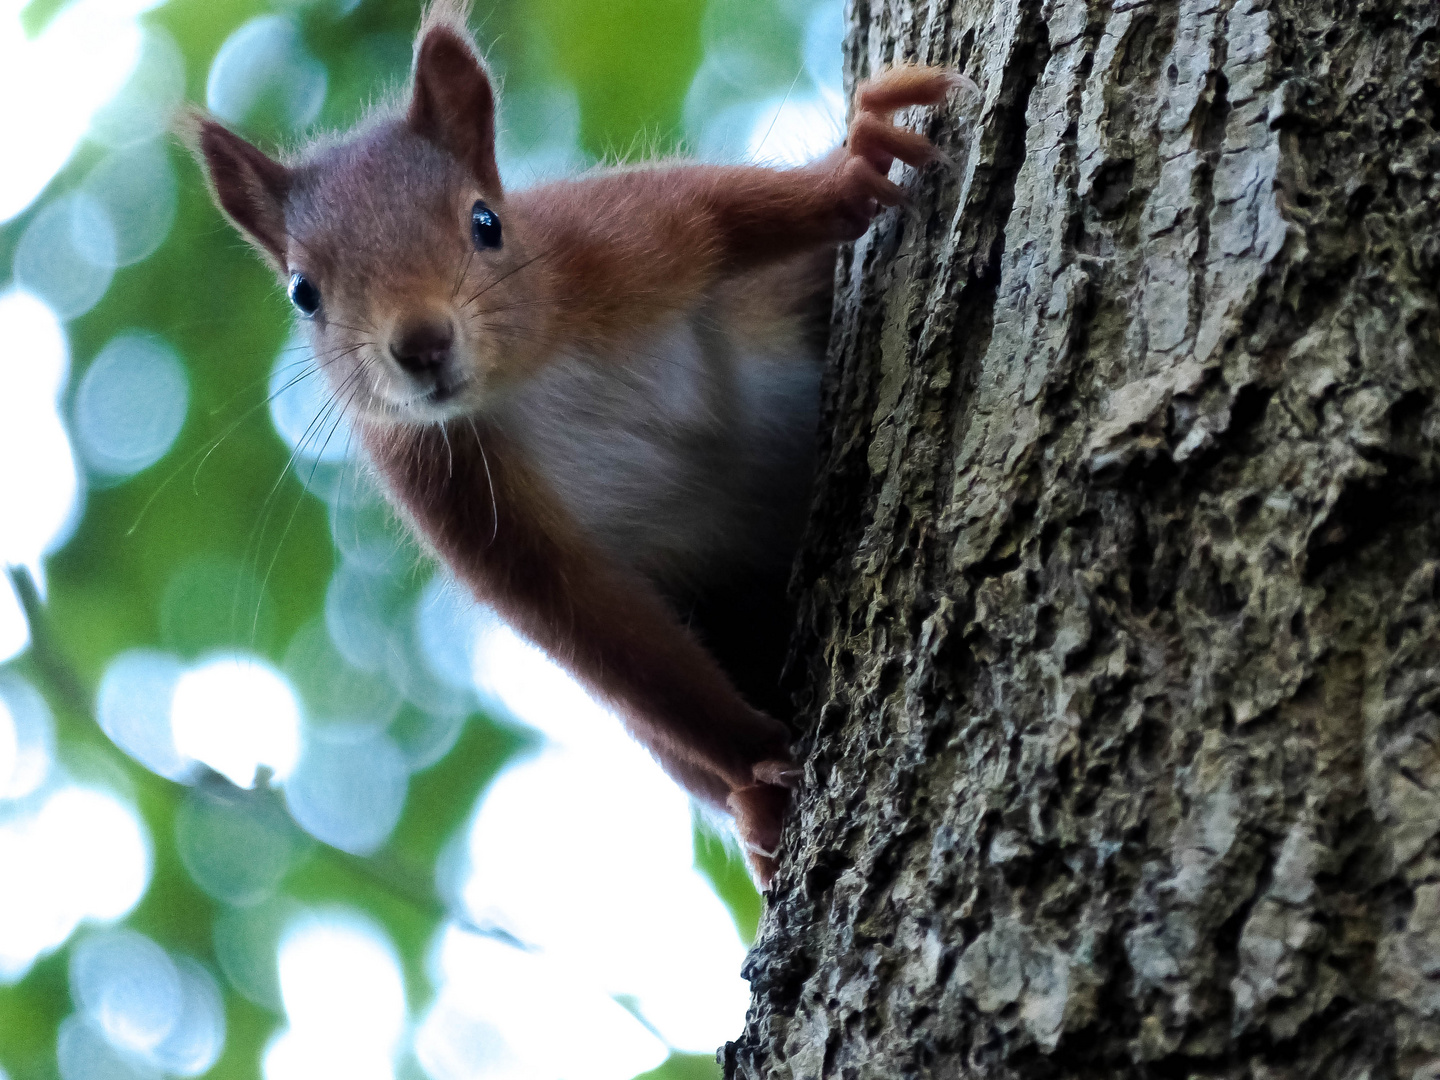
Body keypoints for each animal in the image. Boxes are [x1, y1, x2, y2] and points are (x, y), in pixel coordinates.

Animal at [188, 0, 956, 881]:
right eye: (303, 293)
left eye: (486, 223)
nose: (421, 345)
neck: (529, 373)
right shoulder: (451, 488)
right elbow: (603, 637)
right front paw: (758, 766)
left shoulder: (613, 237)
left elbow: (723, 210)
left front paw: (852, 167)